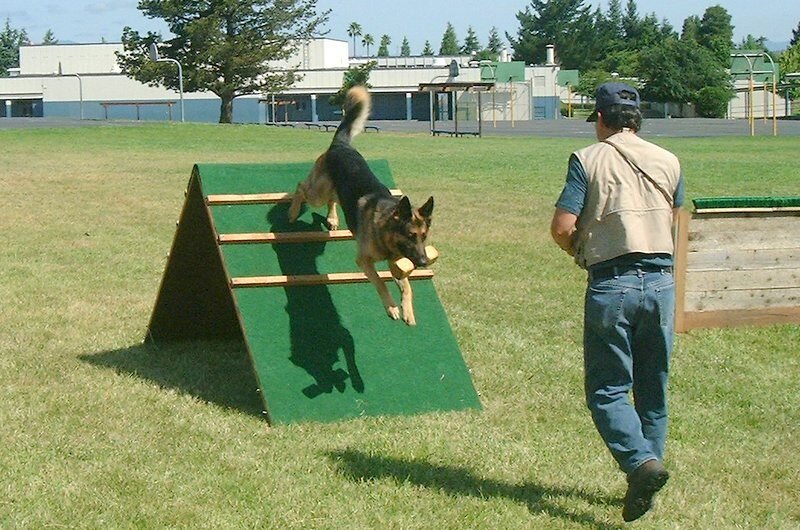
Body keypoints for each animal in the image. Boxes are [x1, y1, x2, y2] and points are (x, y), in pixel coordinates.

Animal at [288, 85, 434, 324]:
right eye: (411, 235)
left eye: (424, 236)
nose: (423, 262)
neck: (383, 227)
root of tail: (340, 145)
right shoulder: (364, 262)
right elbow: (381, 282)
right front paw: (392, 307)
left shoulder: (396, 264)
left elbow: (407, 286)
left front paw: (408, 310)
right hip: (318, 192)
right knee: (301, 187)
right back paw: (292, 212)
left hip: (334, 191)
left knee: (331, 199)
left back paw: (332, 218)